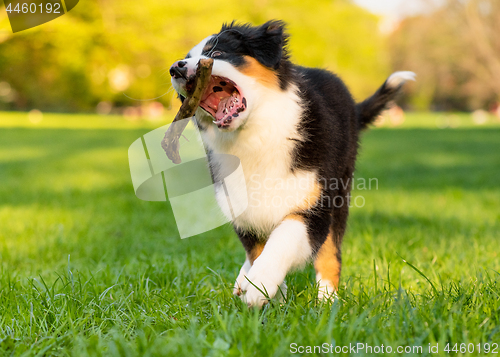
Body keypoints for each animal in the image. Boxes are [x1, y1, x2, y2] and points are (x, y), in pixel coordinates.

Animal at [170, 19, 416, 306]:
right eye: (185, 58)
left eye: (217, 53)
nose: (176, 68)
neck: (255, 136)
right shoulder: (242, 208)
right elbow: (256, 250)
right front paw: (272, 295)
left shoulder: (315, 205)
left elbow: (284, 238)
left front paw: (261, 284)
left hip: (340, 192)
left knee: (330, 252)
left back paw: (327, 300)